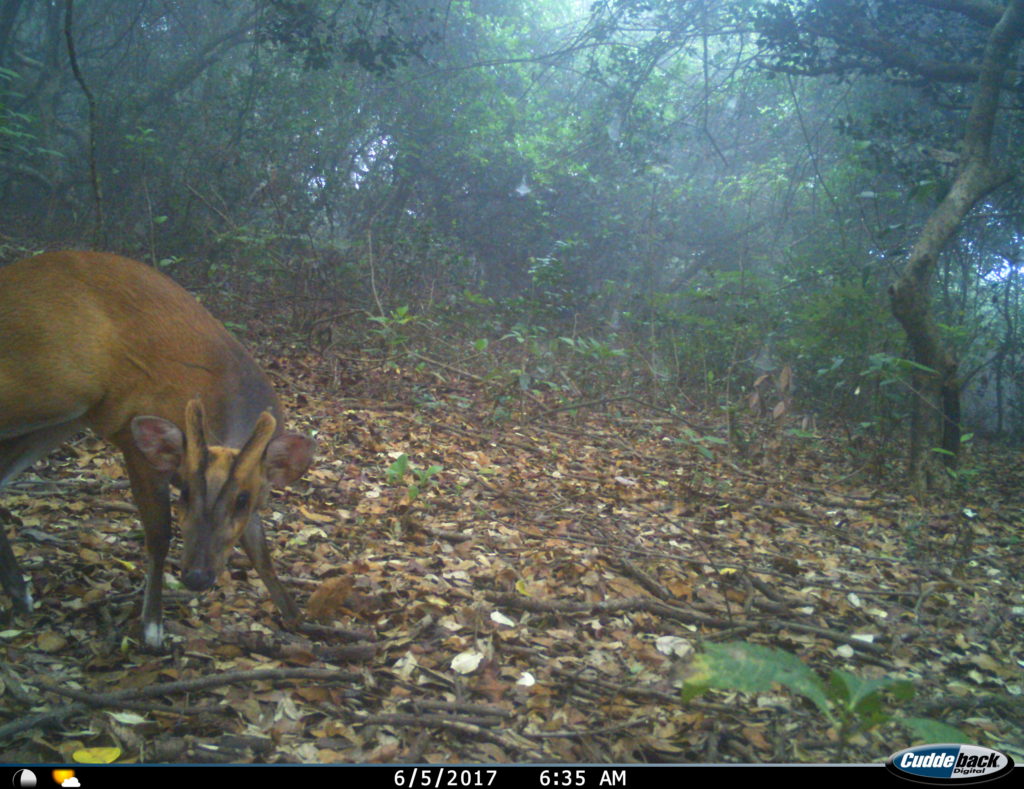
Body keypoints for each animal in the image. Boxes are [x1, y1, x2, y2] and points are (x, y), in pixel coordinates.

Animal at [0, 251, 311, 646]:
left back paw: (20, 594)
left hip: (65, 415)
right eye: (186, 493)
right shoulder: (137, 447)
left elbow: (261, 551)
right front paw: (152, 626)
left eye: (242, 500)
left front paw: (296, 617)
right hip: (48, 383)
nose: (196, 577)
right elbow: (159, 535)